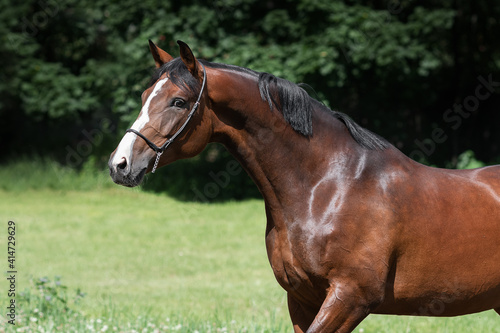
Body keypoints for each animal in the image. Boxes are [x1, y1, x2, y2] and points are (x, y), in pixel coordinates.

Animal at [110, 41, 500, 332]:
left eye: (178, 101)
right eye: (145, 96)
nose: (120, 164)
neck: (328, 188)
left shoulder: (351, 297)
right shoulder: (301, 298)